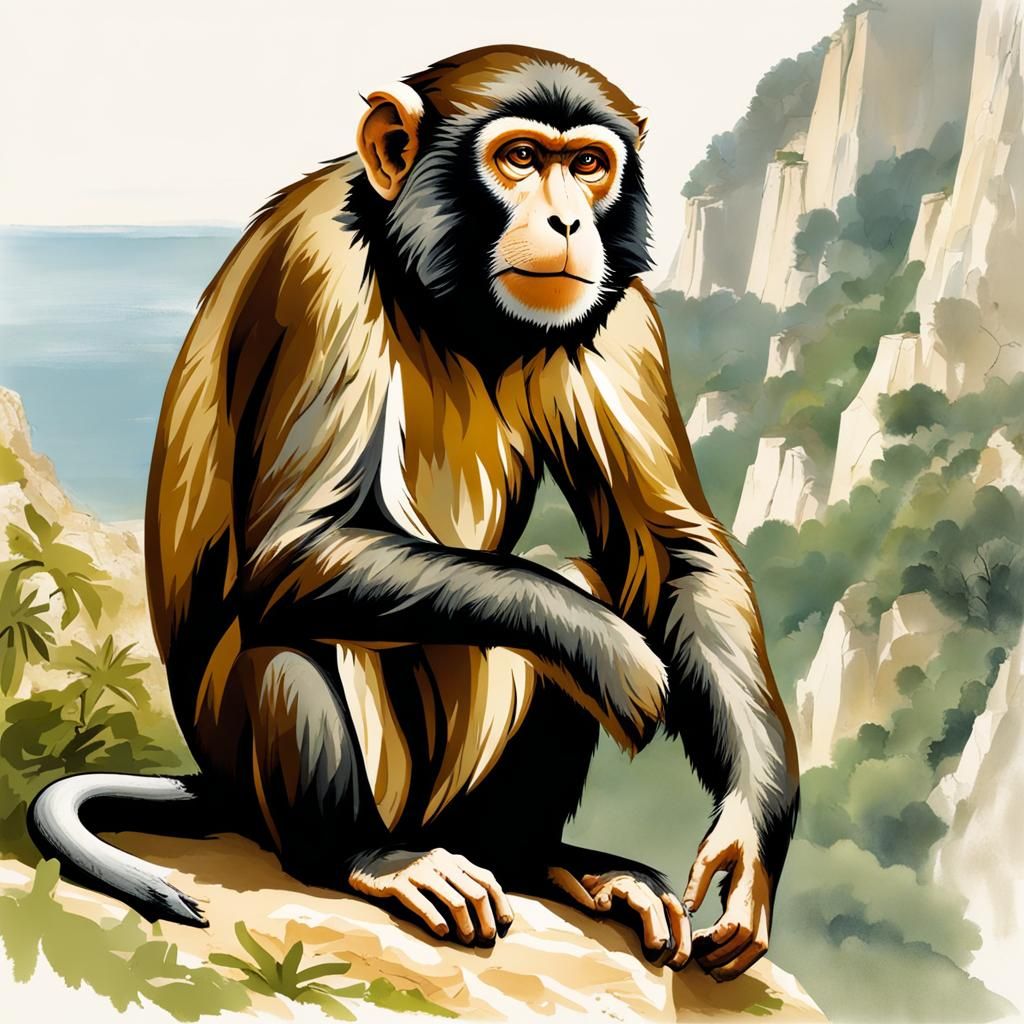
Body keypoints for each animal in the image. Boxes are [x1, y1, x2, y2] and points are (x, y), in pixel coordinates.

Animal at [29, 45, 798, 980]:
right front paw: (611, 650)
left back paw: (544, 859)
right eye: (519, 158)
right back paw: (368, 857)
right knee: (298, 631)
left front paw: (748, 842)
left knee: (572, 580)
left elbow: (676, 545)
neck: (447, 296)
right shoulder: (320, 267)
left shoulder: (621, 313)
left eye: (587, 164)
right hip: (282, 771)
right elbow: (298, 550)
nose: (569, 221)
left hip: (452, 798)